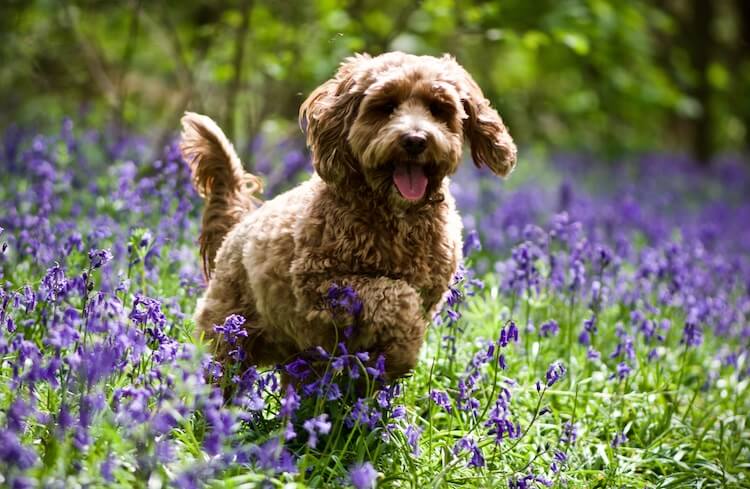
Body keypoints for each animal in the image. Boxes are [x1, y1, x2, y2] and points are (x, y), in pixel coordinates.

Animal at [181, 51, 516, 380]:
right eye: (386, 106)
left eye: (438, 108)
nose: (415, 140)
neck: (396, 215)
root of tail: (236, 229)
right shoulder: (322, 285)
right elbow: (395, 296)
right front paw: (399, 355)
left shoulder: (430, 293)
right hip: (229, 337)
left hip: (297, 359)